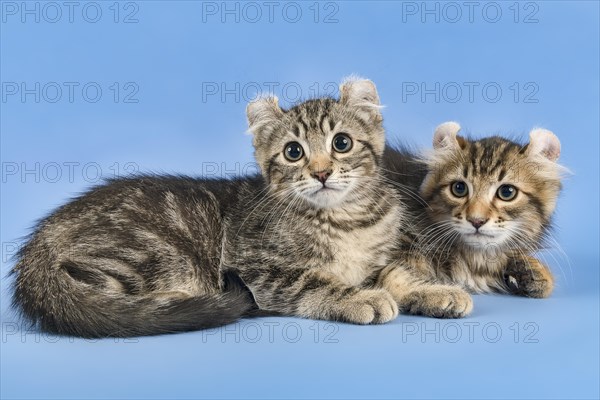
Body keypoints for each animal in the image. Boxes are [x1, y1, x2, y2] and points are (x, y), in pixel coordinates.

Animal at [12, 78, 464, 338]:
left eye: (342, 143)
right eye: (293, 152)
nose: (320, 172)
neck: (343, 219)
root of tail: (37, 244)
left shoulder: (378, 257)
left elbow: (394, 273)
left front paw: (434, 292)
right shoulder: (258, 267)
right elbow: (314, 281)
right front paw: (360, 298)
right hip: (153, 250)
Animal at [382, 122, 564, 300]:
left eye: (507, 192)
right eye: (459, 188)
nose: (476, 220)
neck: (475, 257)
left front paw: (533, 272)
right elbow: (393, 276)